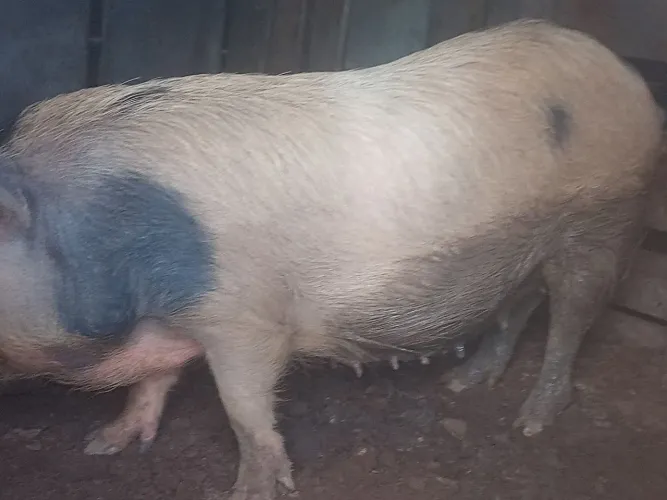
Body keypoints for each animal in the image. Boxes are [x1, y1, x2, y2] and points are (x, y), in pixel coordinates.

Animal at [0, 18, 663, 500]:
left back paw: (530, 421)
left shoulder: (242, 318)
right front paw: (103, 443)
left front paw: (250, 493)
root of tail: (622, 70)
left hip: (603, 220)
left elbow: (243, 408)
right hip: (522, 248)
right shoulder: (171, 316)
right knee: (519, 307)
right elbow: (152, 382)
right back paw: (463, 384)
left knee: (571, 320)